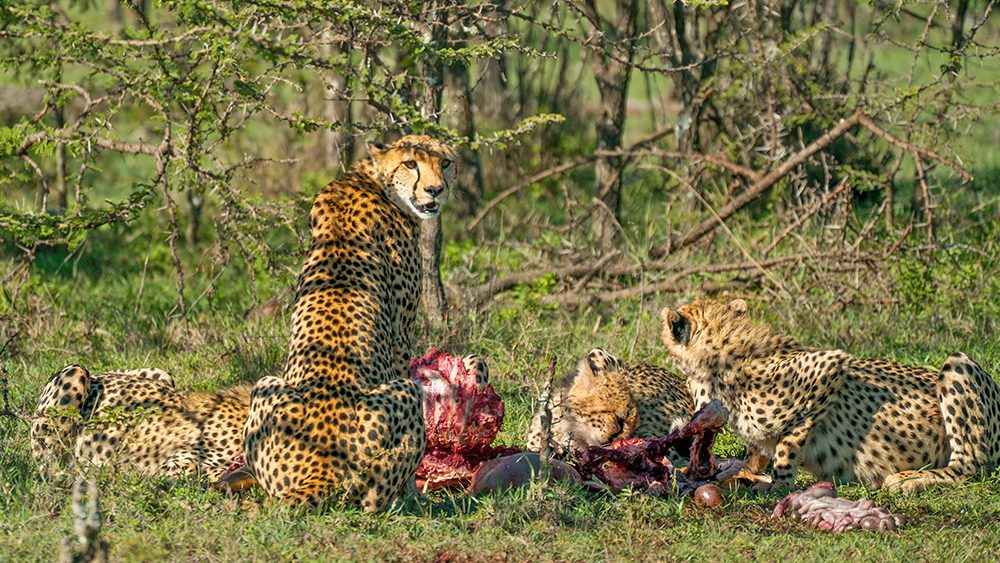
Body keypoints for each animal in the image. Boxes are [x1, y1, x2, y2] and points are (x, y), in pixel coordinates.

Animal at [30, 366, 252, 480]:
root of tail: (97, 374)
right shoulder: (170, 466)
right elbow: (201, 469)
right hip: (75, 371)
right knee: (48, 465)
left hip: (163, 374)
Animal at [242, 134, 458, 512]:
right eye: (410, 163)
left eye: (445, 162)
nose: (436, 190)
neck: (371, 180)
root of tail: (321, 469)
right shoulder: (401, 336)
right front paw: (415, 492)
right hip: (405, 393)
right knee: (372, 501)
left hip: (266, 385)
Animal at [656, 300, 1000, 494]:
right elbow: (757, 450)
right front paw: (745, 471)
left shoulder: (828, 367)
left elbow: (787, 445)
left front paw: (777, 486)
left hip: (958, 364)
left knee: (970, 464)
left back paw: (908, 481)